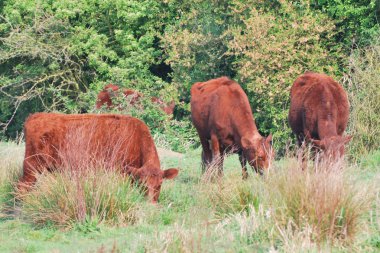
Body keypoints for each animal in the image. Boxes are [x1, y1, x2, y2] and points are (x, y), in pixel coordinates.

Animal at [19, 112, 181, 204]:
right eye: (142, 185)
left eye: (159, 185)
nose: (150, 204)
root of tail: (36, 116)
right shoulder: (120, 172)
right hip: (31, 165)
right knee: (22, 187)